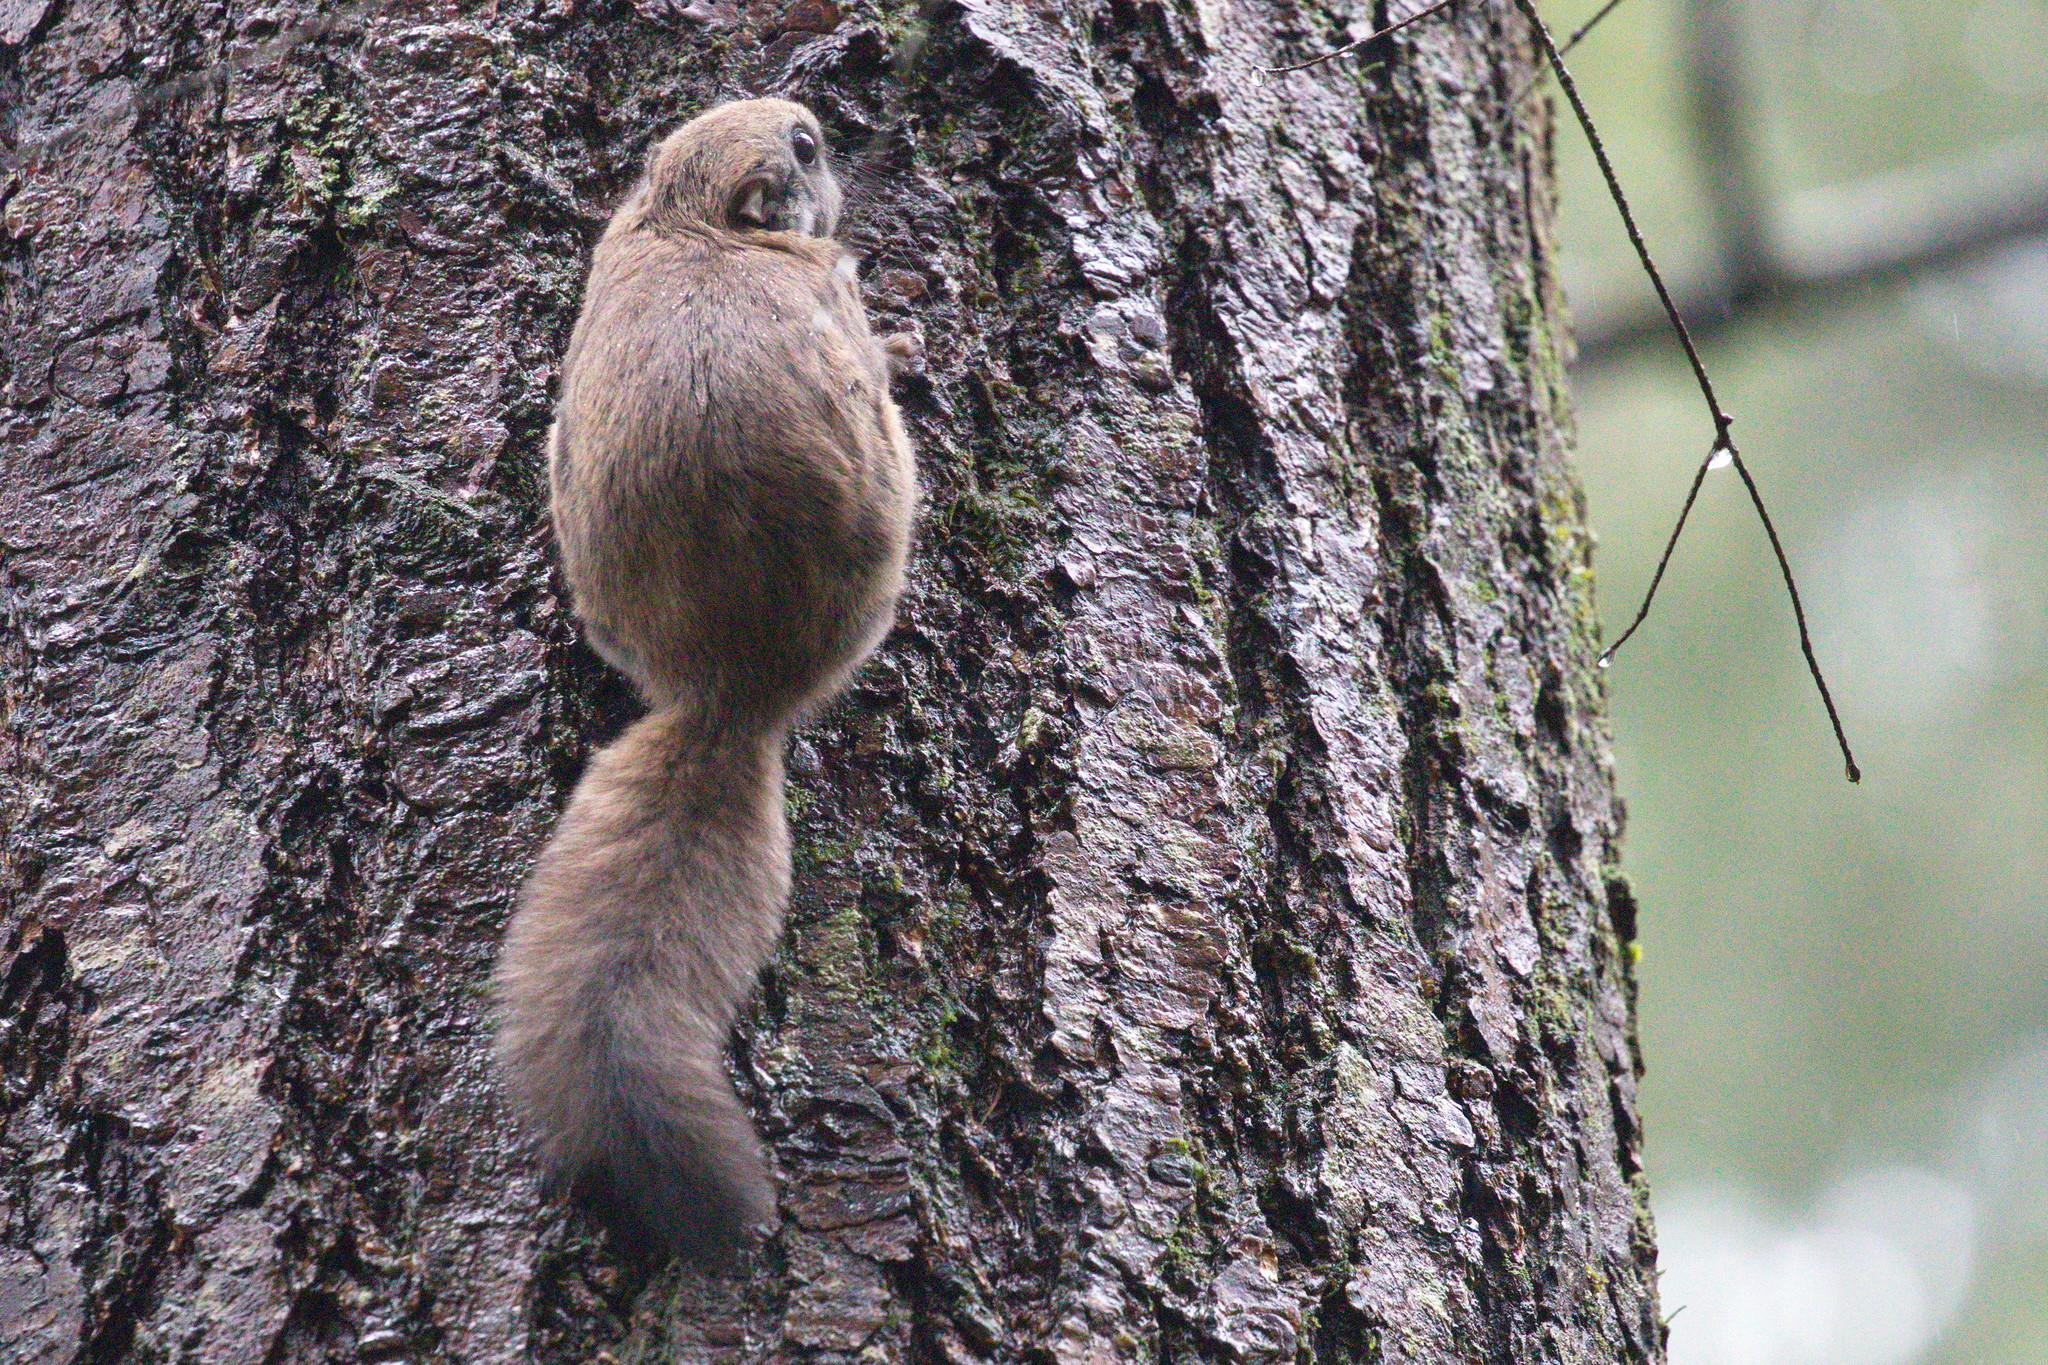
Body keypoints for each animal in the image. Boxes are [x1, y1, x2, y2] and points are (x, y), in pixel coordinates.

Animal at [495, 98, 921, 1268]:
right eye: (806, 149)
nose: (820, 118)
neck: (692, 221)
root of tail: (727, 694)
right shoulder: (824, 284)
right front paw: (901, 338)